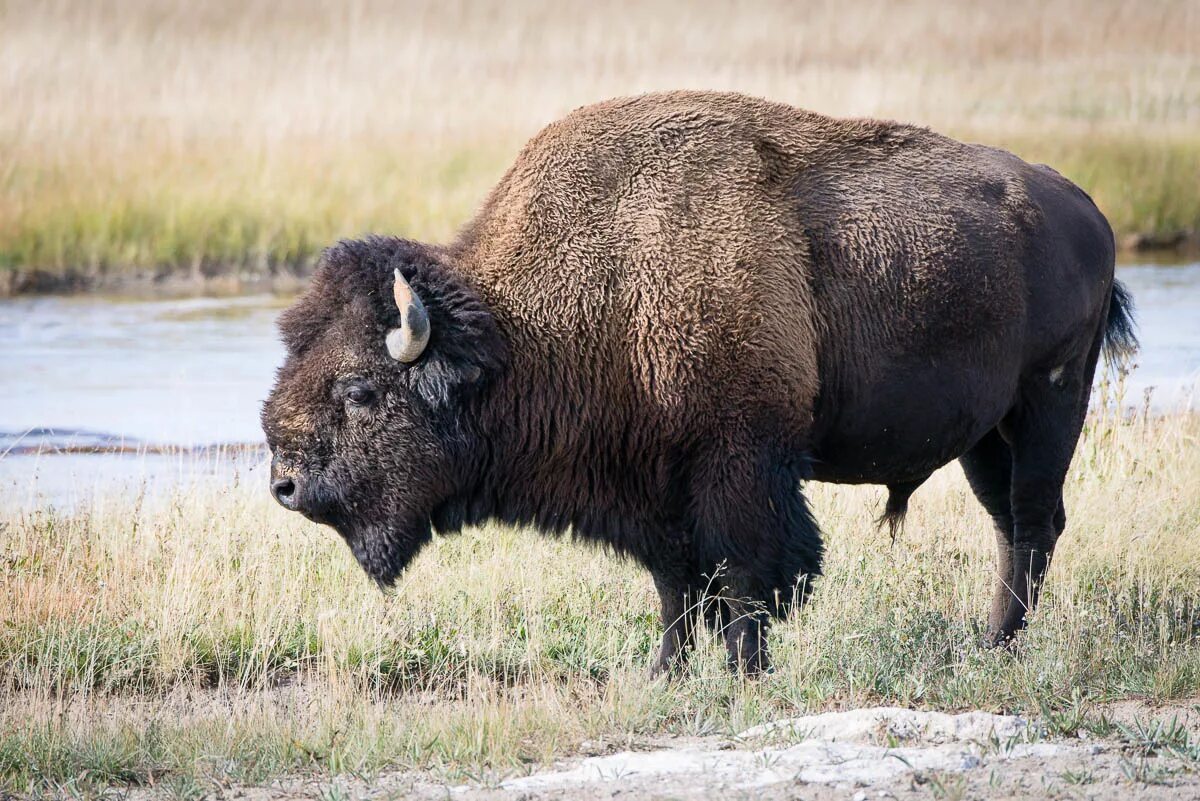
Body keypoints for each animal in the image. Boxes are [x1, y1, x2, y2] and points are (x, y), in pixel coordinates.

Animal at [262, 89, 1132, 676]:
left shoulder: (739, 462)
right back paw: (988, 643)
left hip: (1050, 401)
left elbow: (746, 577)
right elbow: (676, 585)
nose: (286, 483)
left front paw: (748, 672)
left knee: (1033, 521)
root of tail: (1086, 209)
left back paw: (1001, 648)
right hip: (986, 433)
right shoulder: (651, 484)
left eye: (361, 391)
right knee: (1009, 525)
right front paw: (665, 672)